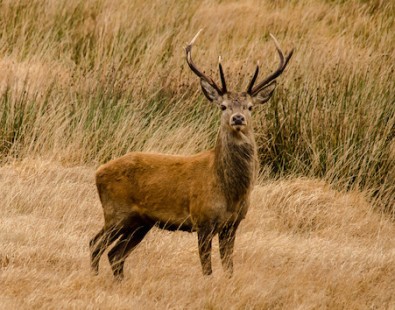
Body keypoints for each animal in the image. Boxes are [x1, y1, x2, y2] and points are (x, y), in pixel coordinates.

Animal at [89, 30, 294, 280]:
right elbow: (207, 268)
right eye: (223, 106)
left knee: (116, 254)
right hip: (116, 212)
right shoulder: (202, 219)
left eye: (250, 107)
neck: (228, 190)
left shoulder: (232, 224)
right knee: (95, 243)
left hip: (139, 222)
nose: (237, 118)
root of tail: (98, 172)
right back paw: (94, 277)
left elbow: (229, 267)